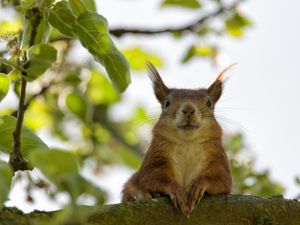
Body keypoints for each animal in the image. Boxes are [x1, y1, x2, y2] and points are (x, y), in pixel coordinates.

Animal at [120, 61, 233, 214]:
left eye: (209, 103)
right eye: (166, 103)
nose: (188, 109)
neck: (187, 143)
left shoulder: (218, 158)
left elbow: (221, 179)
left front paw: (198, 185)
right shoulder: (155, 157)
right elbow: (152, 176)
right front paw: (177, 190)